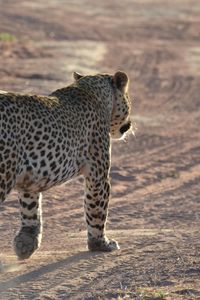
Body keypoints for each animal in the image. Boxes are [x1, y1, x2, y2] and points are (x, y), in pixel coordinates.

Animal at [0, 71, 133, 258]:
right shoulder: (98, 175)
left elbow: (31, 209)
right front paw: (101, 244)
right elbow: (97, 210)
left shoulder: (30, 178)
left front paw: (26, 243)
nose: (129, 125)